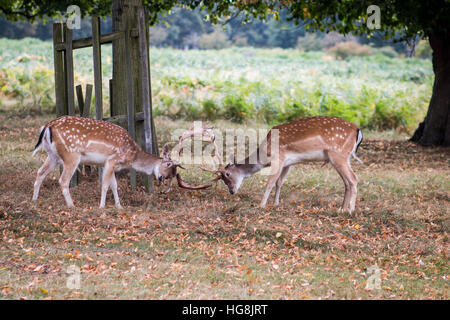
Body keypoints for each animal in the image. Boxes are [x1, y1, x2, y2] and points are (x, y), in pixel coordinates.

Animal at [31, 115, 211, 208]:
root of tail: (47, 126)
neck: (130, 156)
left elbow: (114, 185)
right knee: (63, 180)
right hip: (71, 155)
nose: (160, 178)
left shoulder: (109, 164)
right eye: (168, 165)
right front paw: (102, 207)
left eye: (172, 175)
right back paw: (72, 205)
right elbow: (105, 184)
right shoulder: (112, 160)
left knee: (40, 172)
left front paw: (119, 206)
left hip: (53, 155)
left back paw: (34, 200)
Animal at [202, 116, 364, 214]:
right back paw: (342, 209)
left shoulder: (278, 158)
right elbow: (280, 182)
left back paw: (350, 210)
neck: (265, 154)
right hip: (343, 157)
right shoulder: (288, 163)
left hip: (338, 154)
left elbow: (270, 182)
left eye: (227, 174)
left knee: (354, 179)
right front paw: (276, 203)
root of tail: (358, 130)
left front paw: (261, 205)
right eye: (223, 179)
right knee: (347, 182)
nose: (231, 191)